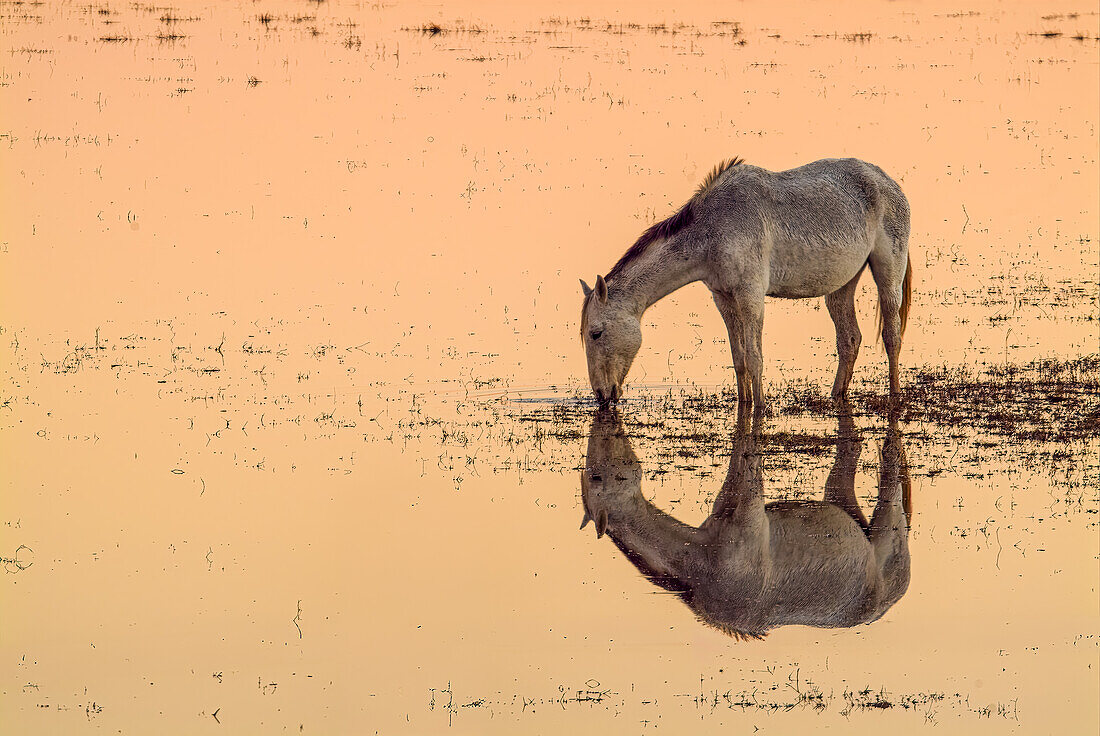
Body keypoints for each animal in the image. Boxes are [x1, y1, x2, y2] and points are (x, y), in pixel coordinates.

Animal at [585, 157, 910, 407]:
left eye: (595, 334)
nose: (600, 394)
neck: (712, 230)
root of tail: (887, 180)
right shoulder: (724, 299)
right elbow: (739, 358)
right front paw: (745, 403)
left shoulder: (750, 296)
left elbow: (755, 357)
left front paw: (762, 407)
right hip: (841, 286)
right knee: (849, 340)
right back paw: (836, 395)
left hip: (888, 273)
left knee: (891, 336)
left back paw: (894, 395)